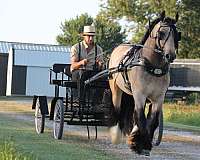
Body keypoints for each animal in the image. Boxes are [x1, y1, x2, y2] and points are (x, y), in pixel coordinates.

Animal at [108, 11, 180, 156]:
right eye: (161, 33)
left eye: (176, 35)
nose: (170, 55)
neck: (152, 67)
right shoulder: (140, 95)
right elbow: (141, 118)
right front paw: (141, 145)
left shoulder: (158, 98)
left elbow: (152, 121)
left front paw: (141, 144)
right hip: (116, 90)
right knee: (117, 109)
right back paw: (116, 135)